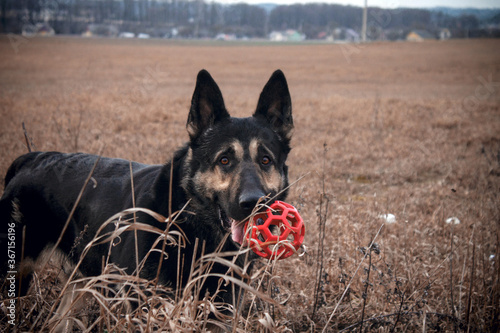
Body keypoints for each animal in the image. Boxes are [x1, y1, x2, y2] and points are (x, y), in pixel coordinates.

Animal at [0, 68, 292, 328]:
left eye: (265, 160)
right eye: (224, 160)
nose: (254, 202)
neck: (189, 223)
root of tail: (32, 158)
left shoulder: (219, 316)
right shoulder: (147, 312)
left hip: (79, 284)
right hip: (15, 273)